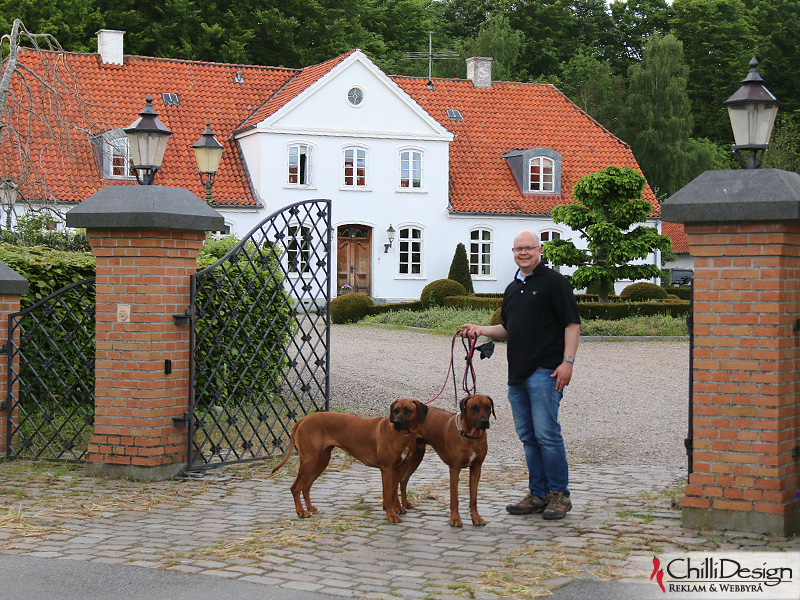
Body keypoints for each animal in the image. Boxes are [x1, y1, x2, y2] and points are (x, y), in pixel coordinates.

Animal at [270, 400, 432, 524]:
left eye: (408, 410)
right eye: (396, 410)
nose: (396, 422)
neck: (401, 434)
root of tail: (304, 419)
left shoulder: (399, 467)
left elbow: (393, 491)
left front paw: (395, 509)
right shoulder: (386, 469)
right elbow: (387, 494)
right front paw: (391, 515)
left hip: (321, 461)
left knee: (306, 486)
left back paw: (309, 508)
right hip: (309, 460)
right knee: (295, 487)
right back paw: (301, 512)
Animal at [398, 396, 494, 528]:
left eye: (488, 407)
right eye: (473, 408)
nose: (484, 421)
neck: (471, 436)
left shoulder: (476, 468)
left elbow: (473, 498)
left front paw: (476, 517)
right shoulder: (454, 468)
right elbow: (454, 498)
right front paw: (455, 519)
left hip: (417, 455)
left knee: (403, 480)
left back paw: (405, 503)